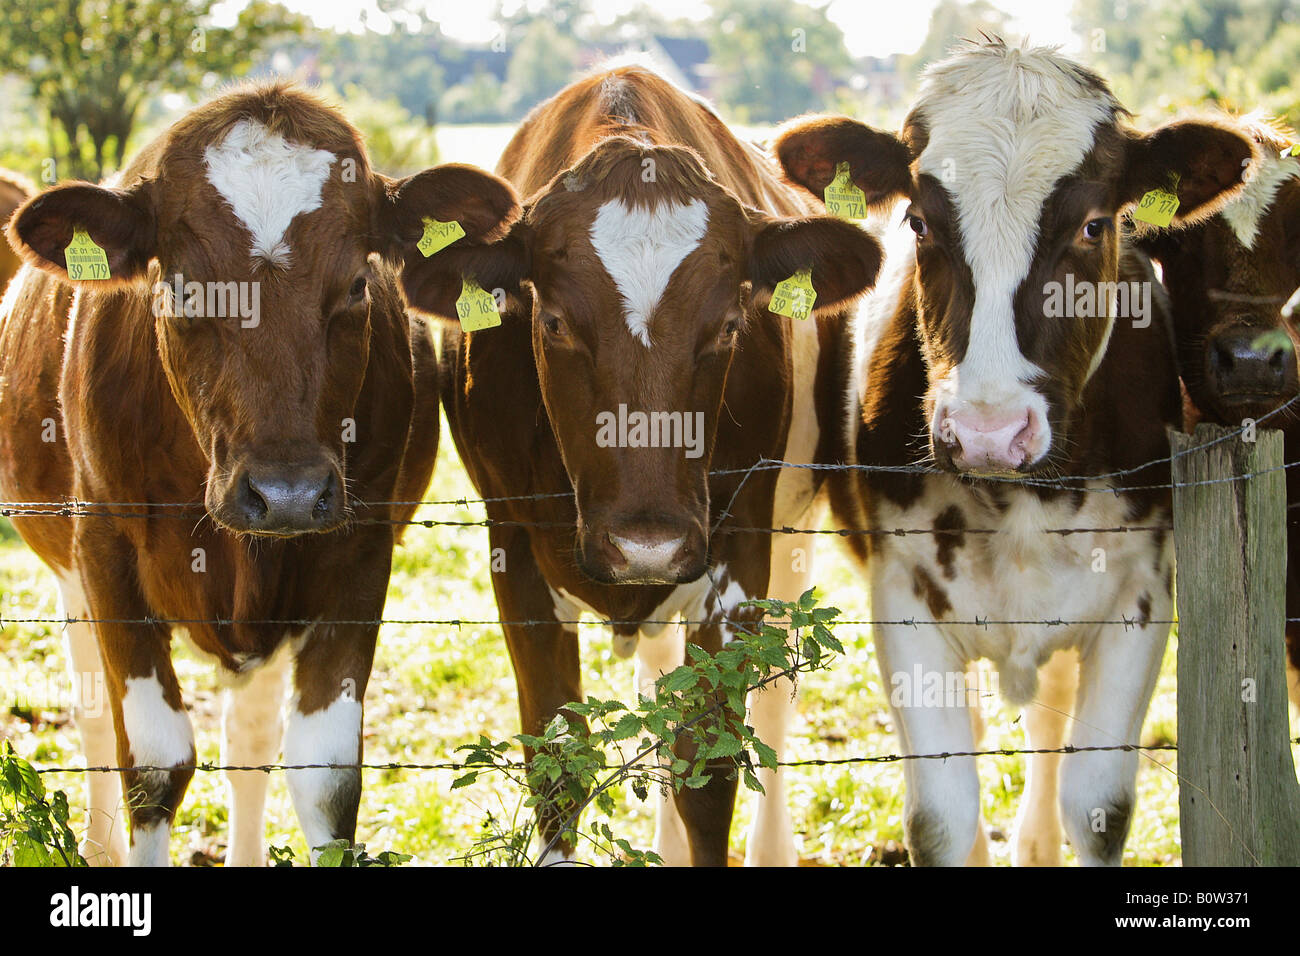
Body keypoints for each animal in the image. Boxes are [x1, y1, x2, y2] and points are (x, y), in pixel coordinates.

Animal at [0, 82, 519, 865]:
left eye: (358, 285)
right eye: (183, 289)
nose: (287, 493)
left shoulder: (357, 555)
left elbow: (324, 775)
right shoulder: (105, 554)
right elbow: (152, 762)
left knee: (246, 742)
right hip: (69, 572)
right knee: (93, 717)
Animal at [394, 65, 887, 866]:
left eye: (730, 324)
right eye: (553, 322)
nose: (644, 545)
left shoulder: (737, 548)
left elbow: (709, 767)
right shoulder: (512, 551)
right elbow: (558, 763)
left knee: (770, 708)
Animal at [773, 39, 1255, 865]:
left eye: (1094, 225)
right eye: (919, 221)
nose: (989, 433)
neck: (1025, 499)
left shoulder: (1142, 598)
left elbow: (1097, 805)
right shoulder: (902, 601)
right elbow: (941, 814)